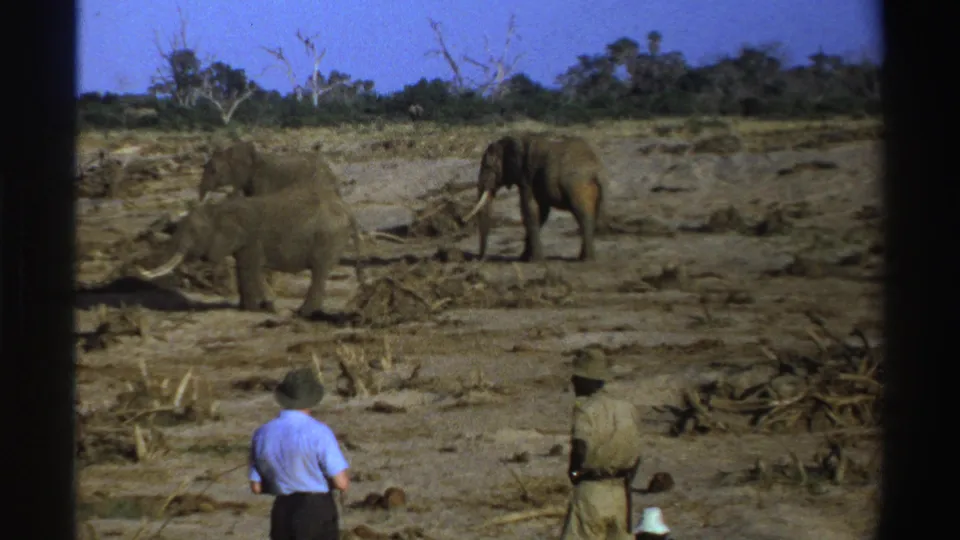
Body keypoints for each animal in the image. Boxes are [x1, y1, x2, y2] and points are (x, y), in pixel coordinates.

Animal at [137, 181, 365, 319]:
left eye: (194, 231)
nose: (140, 268)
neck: (220, 208)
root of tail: (349, 211)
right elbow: (243, 267)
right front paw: (250, 308)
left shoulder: (251, 239)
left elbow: (251, 268)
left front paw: (264, 307)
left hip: (328, 237)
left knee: (319, 270)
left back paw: (302, 314)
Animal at [462, 133, 608, 262]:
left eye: (488, 167)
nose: (479, 258)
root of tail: (596, 171)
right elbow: (541, 213)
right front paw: (525, 258)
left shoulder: (527, 176)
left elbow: (529, 210)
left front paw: (534, 261)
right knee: (592, 216)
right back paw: (585, 258)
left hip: (576, 186)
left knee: (583, 216)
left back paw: (586, 260)